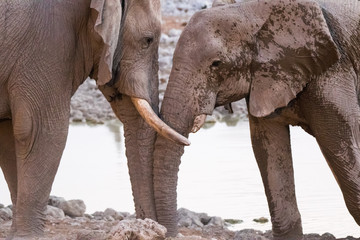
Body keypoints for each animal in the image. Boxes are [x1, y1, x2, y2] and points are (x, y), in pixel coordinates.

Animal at [0, 0, 188, 238]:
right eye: (148, 40)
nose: (163, 231)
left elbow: (8, 136)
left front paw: (17, 234)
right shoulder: (46, 45)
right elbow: (40, 131)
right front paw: (29, 237)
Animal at [153, 0, 360, 238]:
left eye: (216, 64)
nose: (169, 232)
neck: (253, 10)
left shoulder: (333, 73)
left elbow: (339, 148)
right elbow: (268, 148)